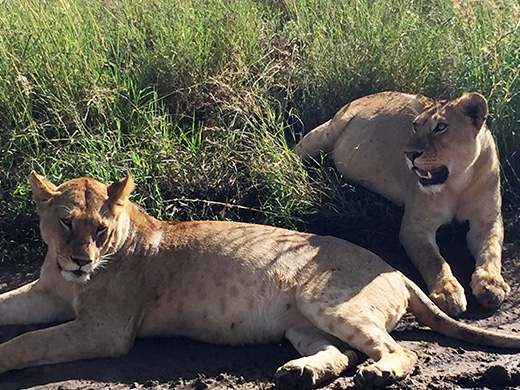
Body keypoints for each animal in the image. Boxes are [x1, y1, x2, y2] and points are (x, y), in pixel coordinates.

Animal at [1, 174, 520, 390]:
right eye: (66, 223)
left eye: (100, 229)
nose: (79, 260)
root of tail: (394, 269)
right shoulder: (46, 293)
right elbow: (9, 305)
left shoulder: (106, 331)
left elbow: (27, 342)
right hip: (302, 321)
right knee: (343, 352)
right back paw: (301, 374)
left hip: (328, 302)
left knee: (397, 351)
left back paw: (379, 375)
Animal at [294, 91, 510, 316]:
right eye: (415, 126)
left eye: (441, 127)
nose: (409, 154)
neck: (458, 182)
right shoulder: (415, 227)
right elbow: (433, 260)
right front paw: (447, 292)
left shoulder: (488, 220)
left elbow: (491, 250)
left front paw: (492, 285)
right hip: (325, 132)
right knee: (294, 152)